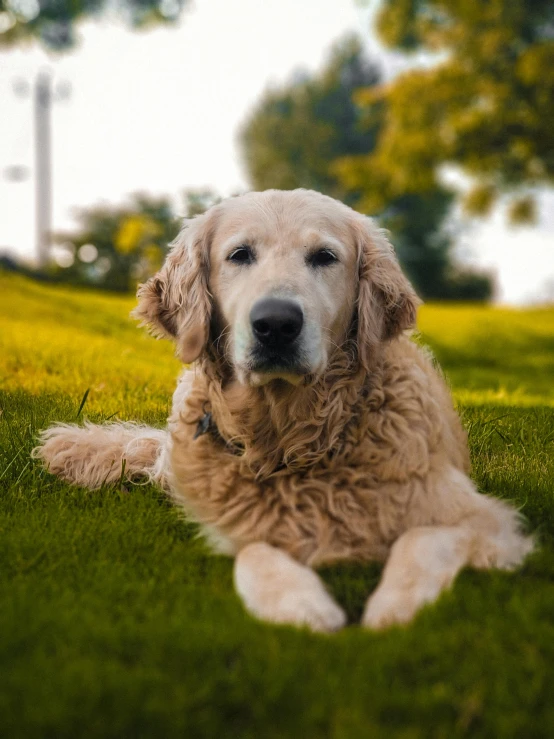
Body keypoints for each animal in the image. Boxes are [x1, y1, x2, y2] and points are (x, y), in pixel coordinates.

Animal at [33, 189, 532, 632]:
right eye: (239, 255)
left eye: (324, 257)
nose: (276, 324)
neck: (291, 437)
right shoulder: (236, 525)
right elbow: (254, 553)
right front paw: (301, 606)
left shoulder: (485, 518)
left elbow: (422, 540)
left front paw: (393, 610)